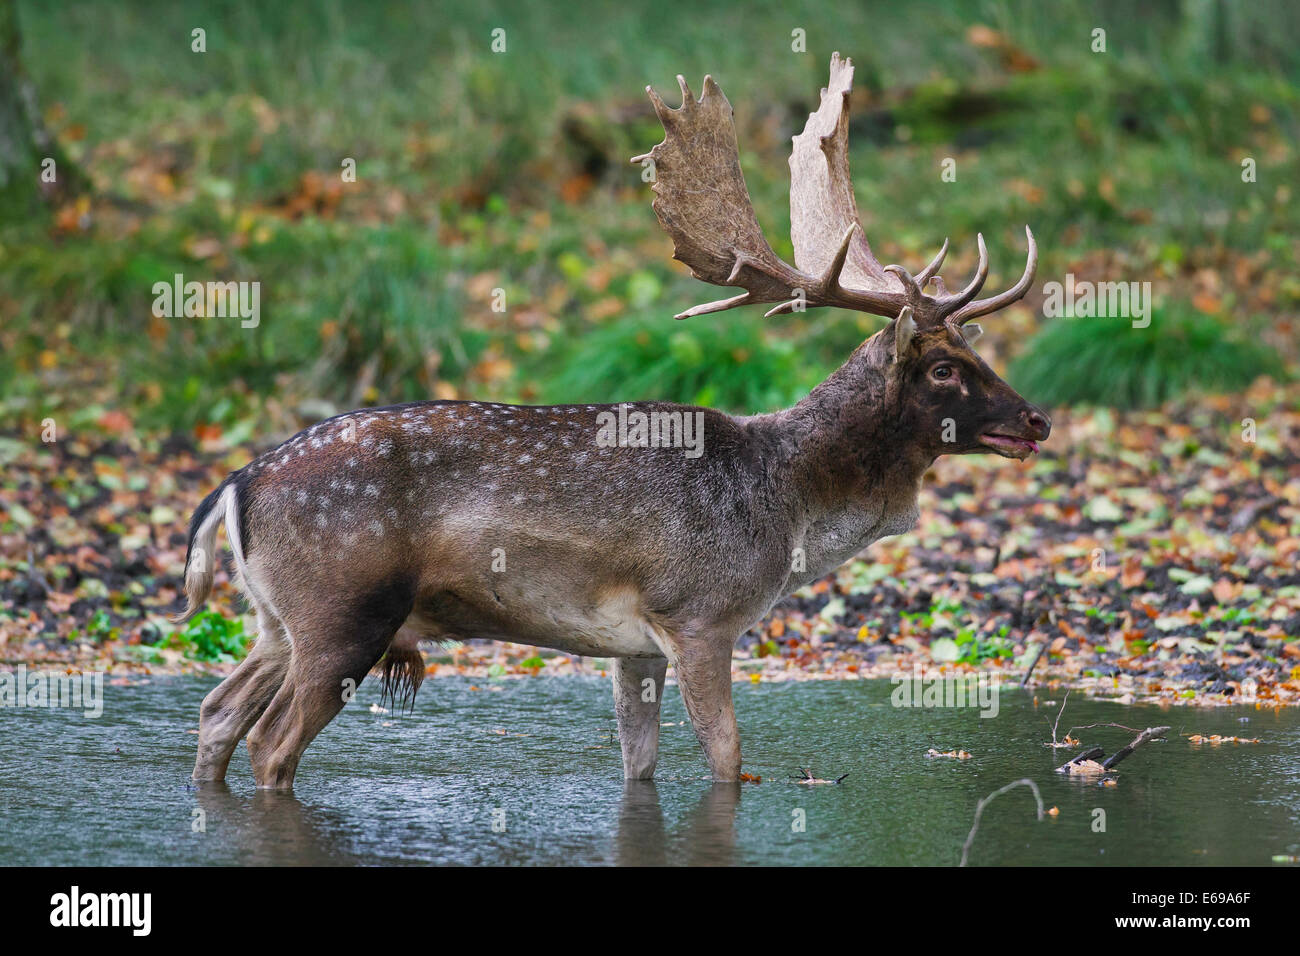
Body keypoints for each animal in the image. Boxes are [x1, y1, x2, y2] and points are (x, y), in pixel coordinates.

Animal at [175, 52, 1045, 790]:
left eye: (973, 347)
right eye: (943, 369)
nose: (1036, 419)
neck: (788, 505)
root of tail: (236, 484)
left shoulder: (634, 647)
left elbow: (640, 762)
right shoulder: (697, 612)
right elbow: (728, 757)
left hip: (275, 618)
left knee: (217, 712)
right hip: (343, 610)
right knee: (270, 742)